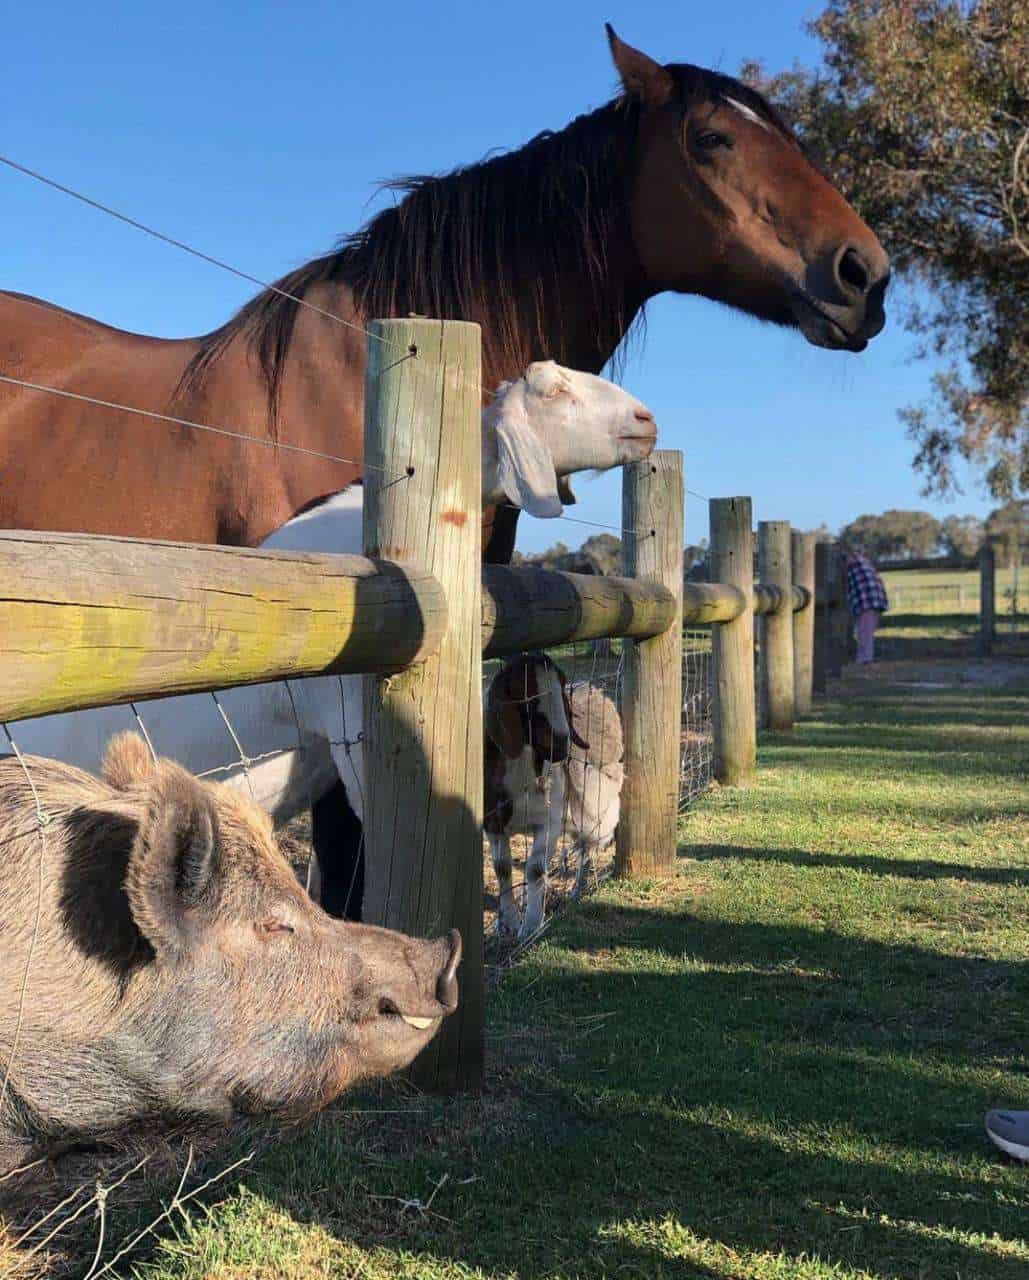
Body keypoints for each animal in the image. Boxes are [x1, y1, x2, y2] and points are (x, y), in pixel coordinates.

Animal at [483, 650, 622, 942]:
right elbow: (502, 868)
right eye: (527, 694)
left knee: (587, 849)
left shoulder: (549, 821)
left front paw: (531, 925)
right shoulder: (493, 822)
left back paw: (577, 893)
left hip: (596, 808)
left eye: (560, 689)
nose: (561, 744)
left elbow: (535, 870)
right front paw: (507, 922)